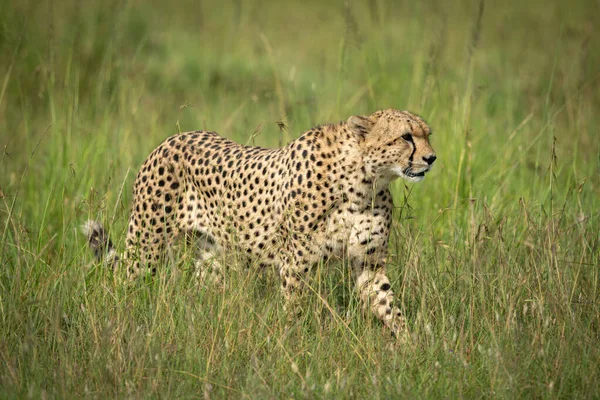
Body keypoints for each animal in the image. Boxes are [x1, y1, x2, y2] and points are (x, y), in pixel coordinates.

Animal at [83, 109, 436, 338]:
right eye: (406, 137)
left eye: (427, 135)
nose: (431, 158)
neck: (363, 181)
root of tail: (174, 137)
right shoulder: (295, 265)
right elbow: (293, 310)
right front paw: (293, 346)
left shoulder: (368, 264)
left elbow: (388, 305)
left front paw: (412, 346)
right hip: (146, 247)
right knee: (123, 284)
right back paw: (120, 322)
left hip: (212, 258)